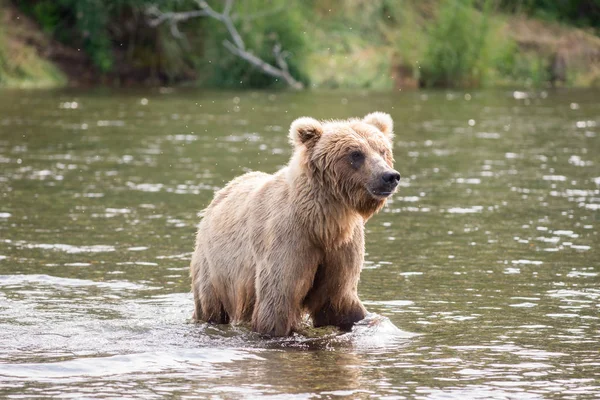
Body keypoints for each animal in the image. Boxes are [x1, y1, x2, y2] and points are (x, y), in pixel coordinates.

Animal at [190, 112, 400, 338]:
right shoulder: (289, 240)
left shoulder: (341, 249)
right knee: (210, 305)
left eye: (383, 150)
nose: (389, 176)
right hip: (214, 267)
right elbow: (277, 304)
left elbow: (339, 300)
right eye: (356, 154)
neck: (323, 225)